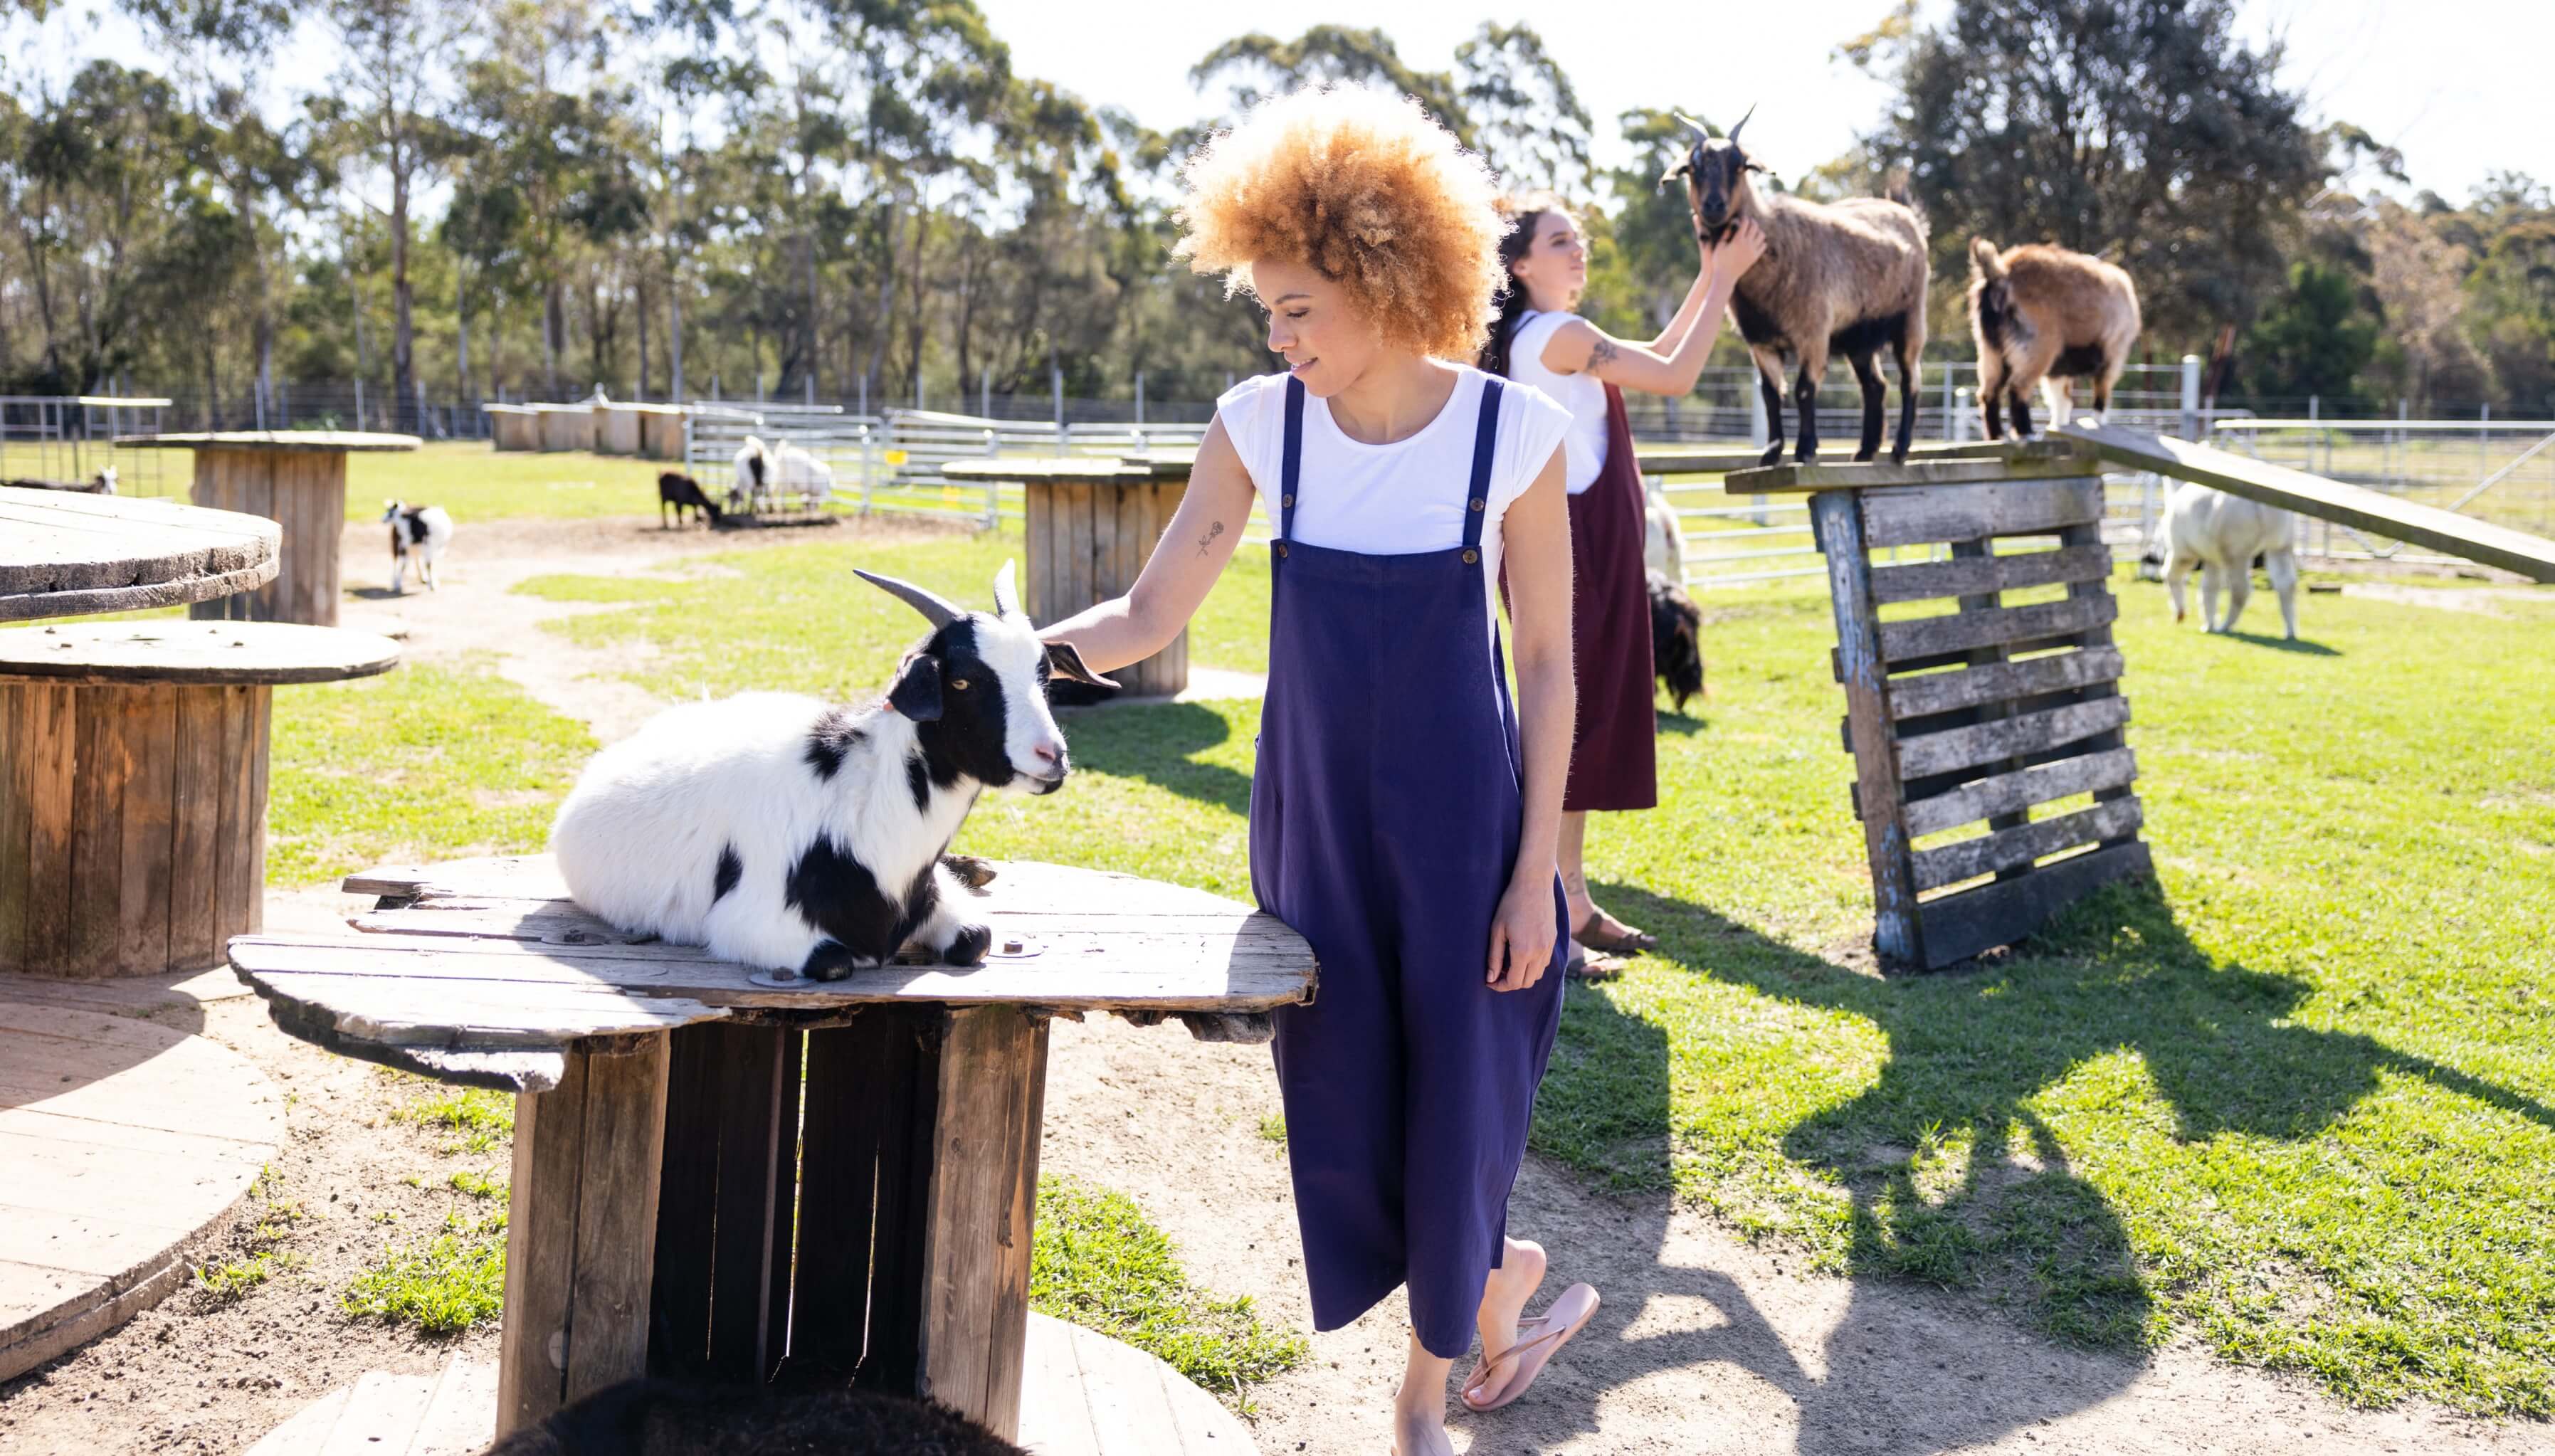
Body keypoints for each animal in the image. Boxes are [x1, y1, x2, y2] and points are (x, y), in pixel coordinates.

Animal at [378, 497, 455, 590]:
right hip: (401, 545)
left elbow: (430, 564)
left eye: (390, 512)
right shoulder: (427, 547)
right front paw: (432, 585)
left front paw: (432, 583)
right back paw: (397, 584)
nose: (382, 520)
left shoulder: (433, 548)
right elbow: (428, 564)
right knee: (398, 563)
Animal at [544, 554, 1114, 976]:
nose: (1052, 756)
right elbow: (835, 960)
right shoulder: (747, 924)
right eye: (961, 680)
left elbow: (977, 938)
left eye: (1044, 674)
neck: (859, 807)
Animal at [1655, 113, 1921, 465]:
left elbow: (1804, 390)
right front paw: (1771, 452)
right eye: (1693, 168)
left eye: (1739, 165)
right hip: (1859, 338)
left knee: (1909, 381)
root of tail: (1906, 213)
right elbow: (1771, 394)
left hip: (1911, 318)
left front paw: (1805, 449)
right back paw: (1864, 451)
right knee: (1876, 386)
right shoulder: (1762, 342)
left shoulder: (1813, 333)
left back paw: (1900, 448)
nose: (1714, 205)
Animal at [1962, 237, 2146, 436]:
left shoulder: (2059, 369)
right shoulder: (2113, 354)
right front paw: (2098, 422)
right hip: (2038, 347)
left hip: (1992, 350)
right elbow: (2101, 393)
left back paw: (1997, 436)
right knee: (2018, 387)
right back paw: (2026, 433)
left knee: (1989, 393)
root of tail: (2000, 274)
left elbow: (2061, 401)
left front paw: (2059, 425)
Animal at [2156, 482, 2300, 633]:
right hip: (2281, 544)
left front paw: (2181, 615)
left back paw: (2225, 626)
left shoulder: (2182, 550)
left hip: (2236, 549)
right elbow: (2210, 587)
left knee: (2241, 589)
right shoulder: (2212, 556)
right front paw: (2208, 624)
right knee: (2286, 584)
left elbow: (2170, 575)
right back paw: (2290, 632)